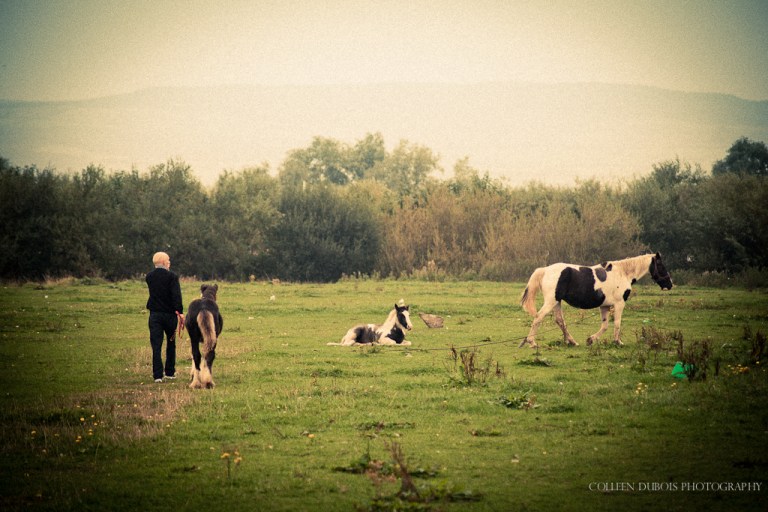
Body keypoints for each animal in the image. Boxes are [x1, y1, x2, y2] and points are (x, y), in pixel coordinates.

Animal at [519, 253, 672, 348]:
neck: (623, 274)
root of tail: (545, 270)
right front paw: (618, 342)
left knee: (560, 321)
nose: (670, 284)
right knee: (539, 317)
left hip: (557, 302)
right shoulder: (619, 304)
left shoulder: (604, 306)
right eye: (661, 266)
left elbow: (605, 326)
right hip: (551, 301)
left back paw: (572, 342)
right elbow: (617, 324)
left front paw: (590, 340)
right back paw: (532, 342)